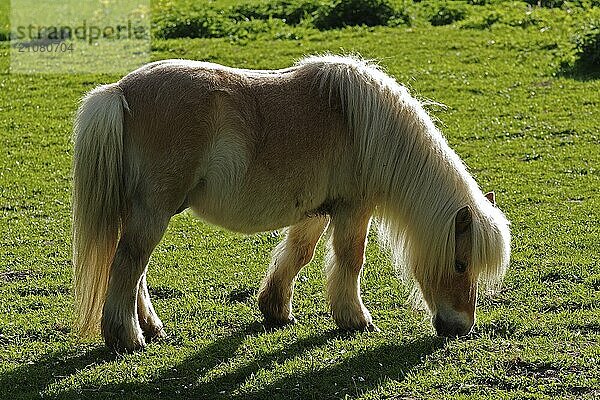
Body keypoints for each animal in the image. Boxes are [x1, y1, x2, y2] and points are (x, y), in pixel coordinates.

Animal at [71, 54, 510, 352]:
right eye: (460, 264)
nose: (461, 328)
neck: (364, 126)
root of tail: (120, 92)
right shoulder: (353, 209)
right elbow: (351, 258)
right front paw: (355, 319)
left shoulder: (316, 211)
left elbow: (299, 253)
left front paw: (276, 309)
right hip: (153, 211)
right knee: (129, 263)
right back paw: (128, 337)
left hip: (145, 210)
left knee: (135, 269)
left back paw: (151, 327)